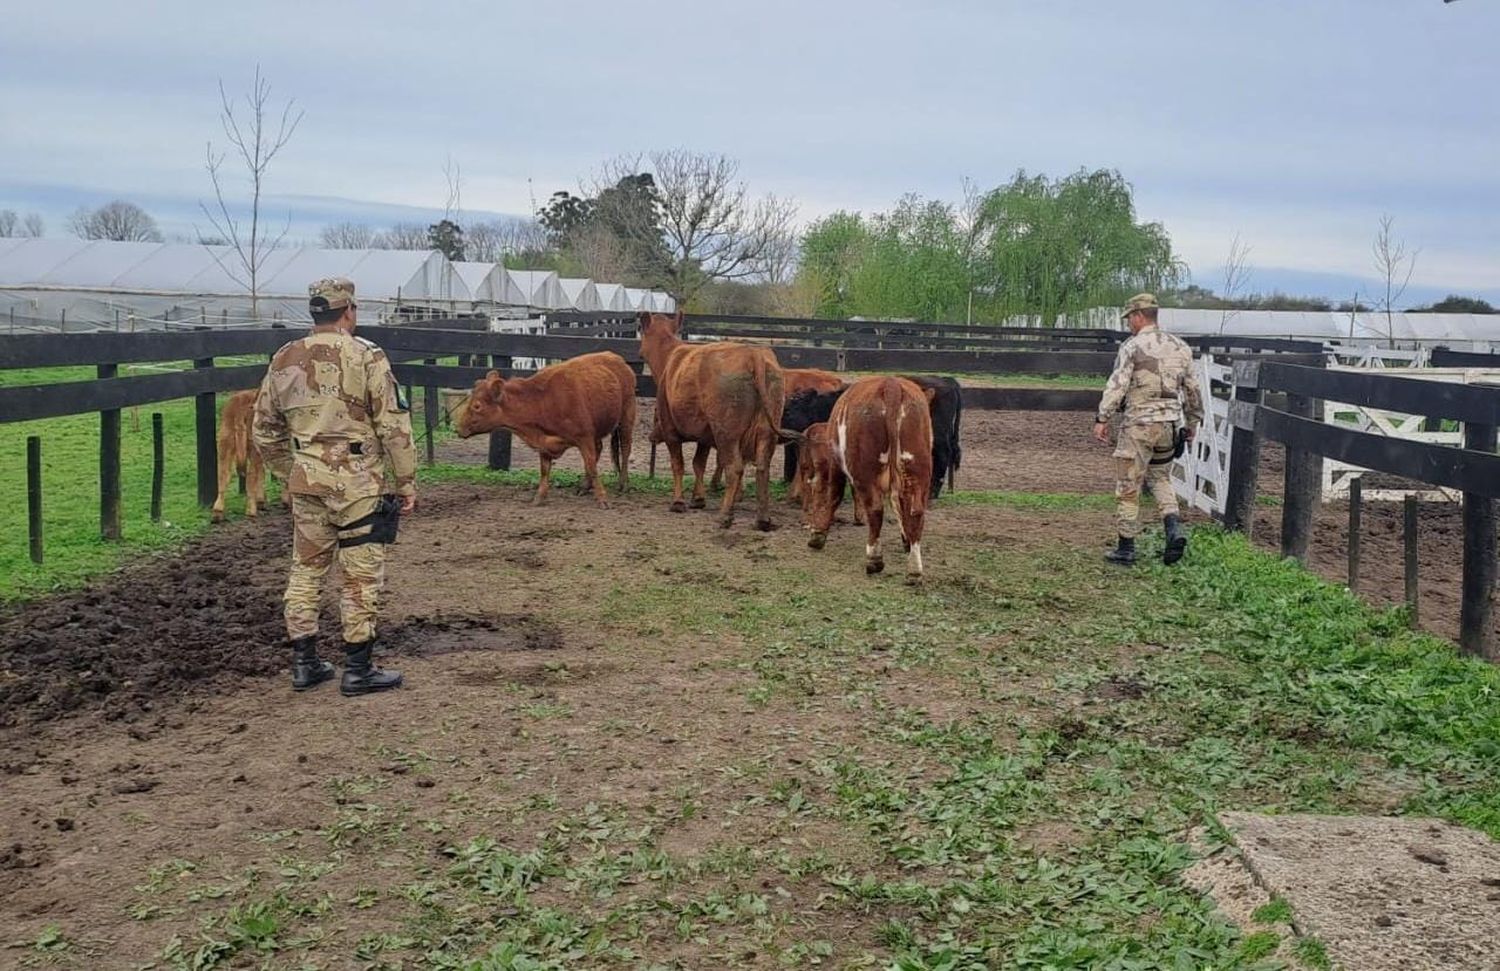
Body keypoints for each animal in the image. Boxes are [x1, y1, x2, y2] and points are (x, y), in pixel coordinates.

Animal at [210, 390, 271, 525]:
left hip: (225, 442)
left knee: (223, 475)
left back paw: (217, 513)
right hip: (253, 446)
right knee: (251, 475)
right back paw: (251, 511)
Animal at [444, 351, 633, 510]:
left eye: (477, 406)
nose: (459, 428)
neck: (543, 400)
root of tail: (616, 358)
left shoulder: (584, 438)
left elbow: (592, 467)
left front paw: (602, 499)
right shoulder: (544, 442)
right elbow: (545, 470)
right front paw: (539, 497)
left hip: (626, 417)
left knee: (625, 448)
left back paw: (623, 483)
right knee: (600, 448)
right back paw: (584, 487)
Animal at [639, 312, 786, 531]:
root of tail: (754, 355)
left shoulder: (670, 430)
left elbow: (679, 464)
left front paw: (678, 502)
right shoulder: (705, 436)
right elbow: (698, 463)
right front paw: (698, 499)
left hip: (727, 433)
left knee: (734, 468)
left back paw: (724, 516)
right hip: (766, 432)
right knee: (762, 468)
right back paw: (762, 519)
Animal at [792, 376, 930, 582]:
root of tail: (891, 385)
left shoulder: (835, 464)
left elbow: (833, 495)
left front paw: (817, 535)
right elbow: (898, 506)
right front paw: (905, 539)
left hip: (866, 471)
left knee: (875, 510)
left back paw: (874, 559)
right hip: (917, 468)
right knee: (914, 511)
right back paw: (914, 569)